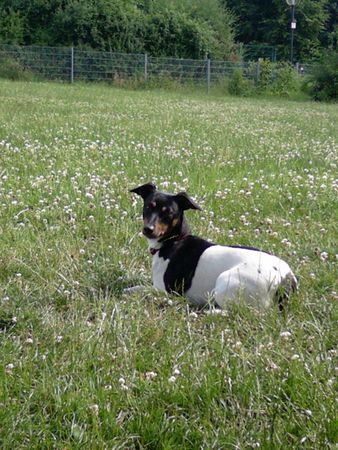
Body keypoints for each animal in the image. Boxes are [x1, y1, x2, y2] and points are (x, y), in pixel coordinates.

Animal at [129, 183, 296, 310]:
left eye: (168, 213)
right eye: (148, 207)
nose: (148, 229)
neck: (173, 242)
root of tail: (285, 279)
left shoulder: (165, 290)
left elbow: (138, 288)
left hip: (225, 282)